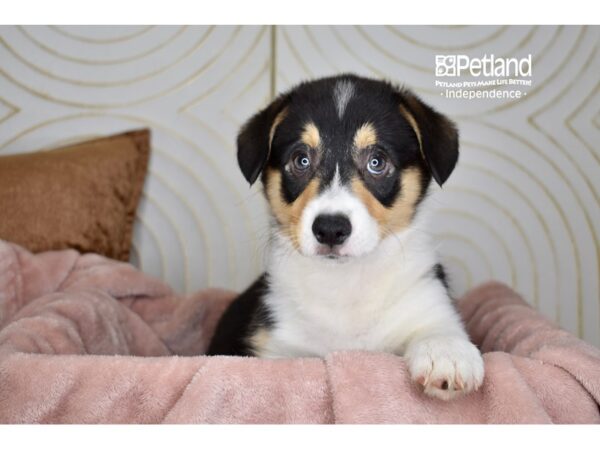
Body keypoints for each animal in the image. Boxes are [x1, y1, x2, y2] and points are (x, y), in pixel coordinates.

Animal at [209, 74, 486, 400]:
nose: (330, 228)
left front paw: (446, 354)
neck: (344, 284)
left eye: (377, 161)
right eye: (301, 160)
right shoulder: (276, 342)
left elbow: (437, 327)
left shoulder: (428, 299)